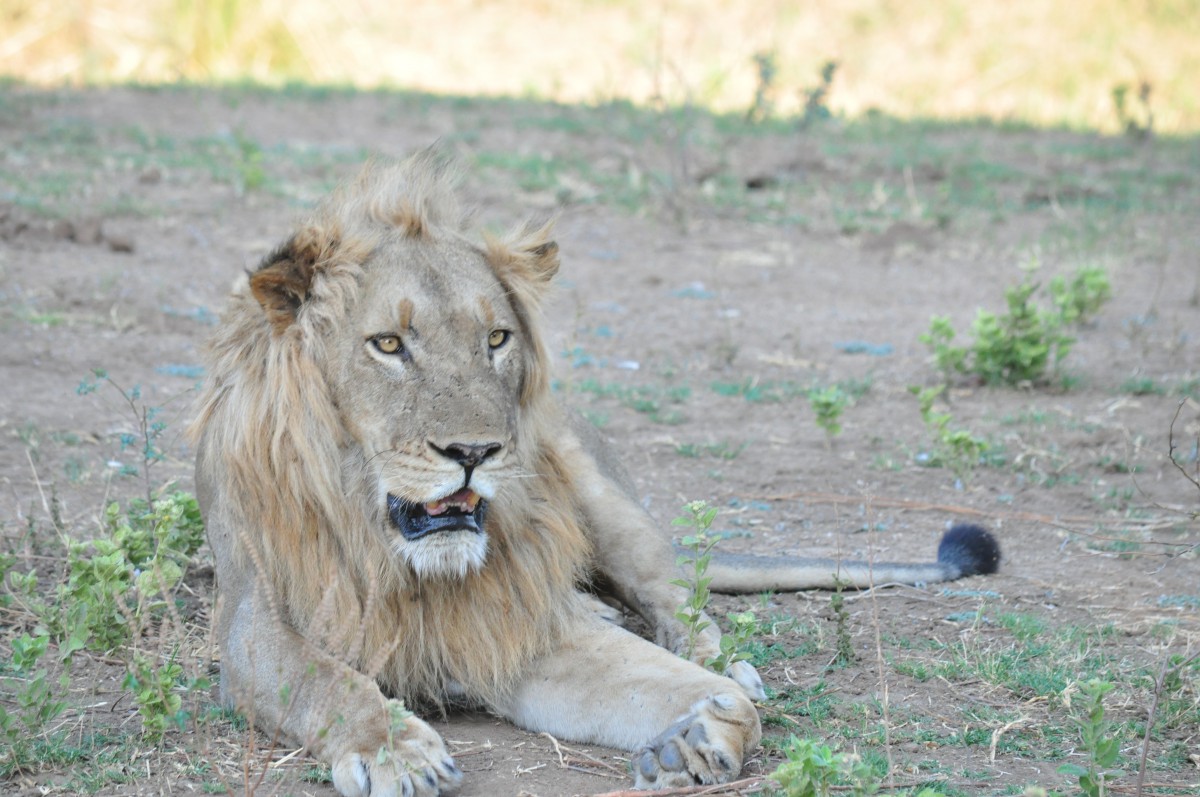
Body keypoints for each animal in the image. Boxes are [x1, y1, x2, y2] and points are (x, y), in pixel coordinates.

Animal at [192, 151, 998, 797]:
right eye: (388, 344)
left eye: (496, 338)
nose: (476, 451)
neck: (398, 557)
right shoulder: (252, 624)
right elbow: (321, 679)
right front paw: (394, 748)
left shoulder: (515, 621)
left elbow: (683, 686)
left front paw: (702, 728)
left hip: (599, 492)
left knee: (677, 597)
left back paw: (718, 659)